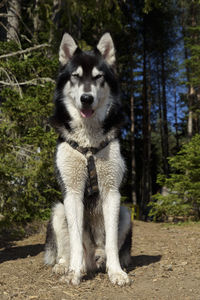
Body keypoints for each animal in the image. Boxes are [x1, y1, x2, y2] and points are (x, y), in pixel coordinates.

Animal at [45, 32, 133, 286]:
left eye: (98, 77)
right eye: (75, 76)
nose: (86, 98)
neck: (89, 144)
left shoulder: (112, 192)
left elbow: (112, 241)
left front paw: (116, 272)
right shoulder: (72, 193)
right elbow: (75, 240)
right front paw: (74, 271)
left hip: (126, 213)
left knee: (106, 248)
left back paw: (103, 261)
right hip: (58, 211)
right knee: (68, 250)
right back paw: (67, 265)